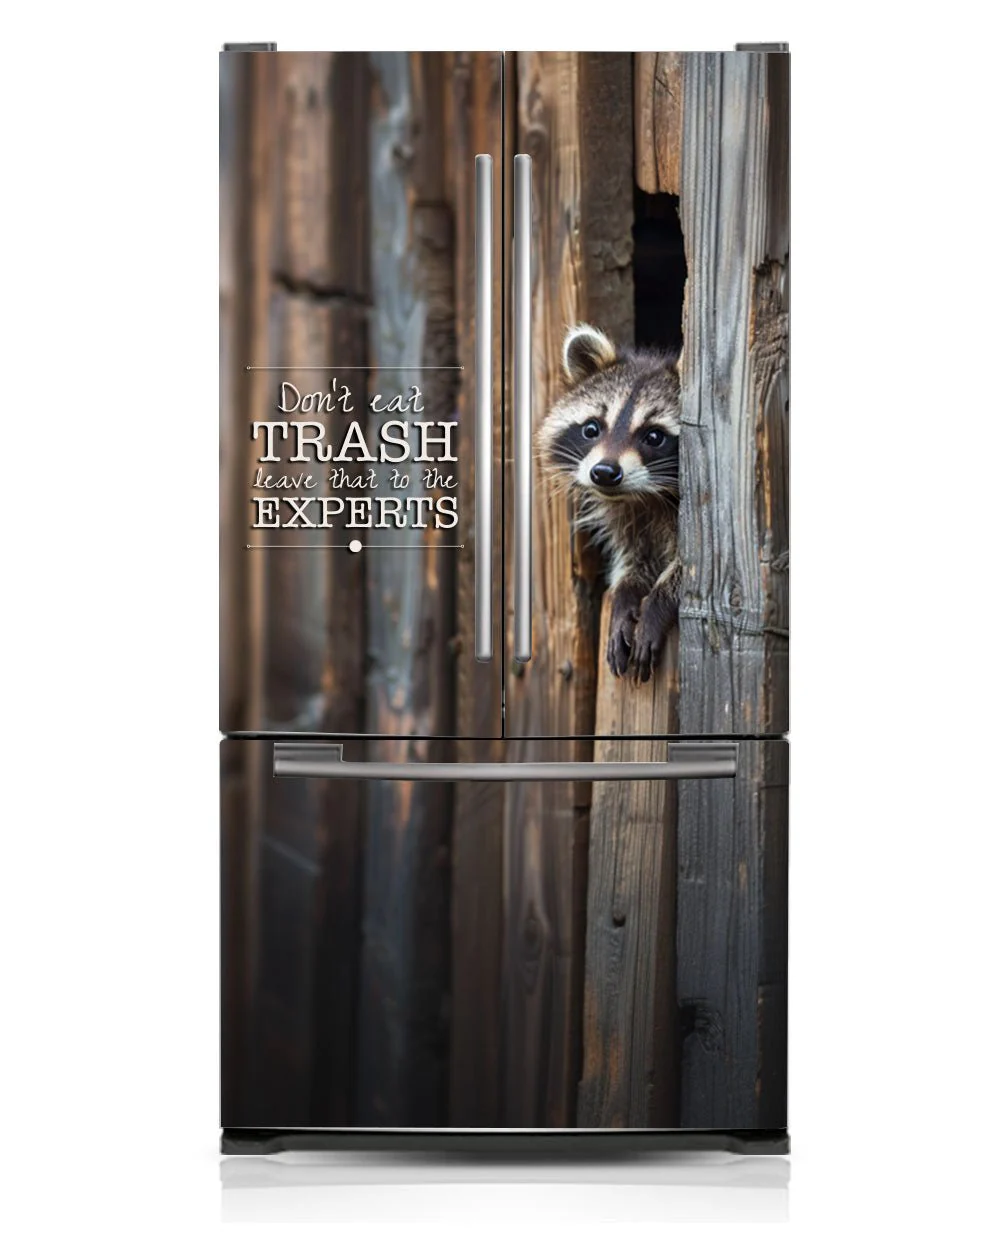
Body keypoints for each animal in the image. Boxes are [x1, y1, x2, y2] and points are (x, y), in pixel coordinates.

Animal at [538, 324, 682, 682]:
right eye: (592, 428)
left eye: (654, 436)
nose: (604, 473)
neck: (646, 496)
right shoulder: (629, 518)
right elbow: (636, 558)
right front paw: (625, 594)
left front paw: (658, 603)